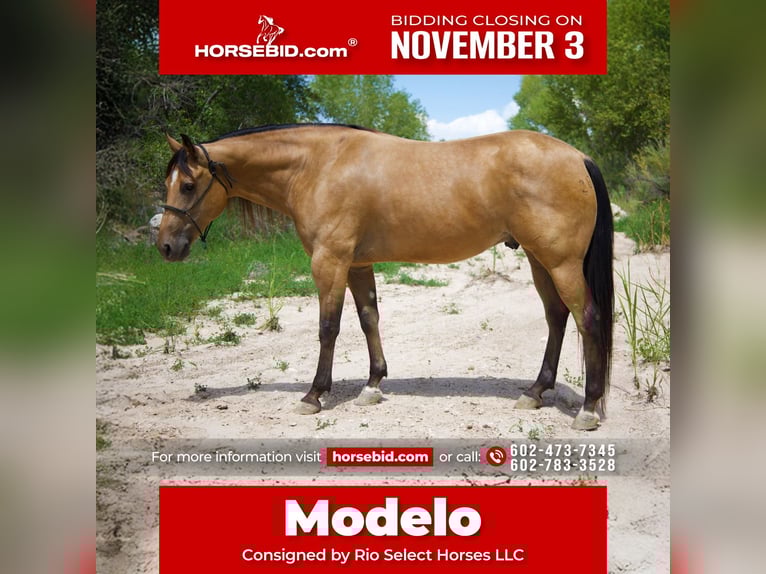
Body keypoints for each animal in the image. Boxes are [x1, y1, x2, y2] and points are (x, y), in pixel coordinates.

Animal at [157, 124, 613, 430]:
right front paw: (373, 384)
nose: (165, 247)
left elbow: (328, 327)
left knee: (587, 318)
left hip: (560, 262)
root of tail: (578, 157)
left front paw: (314, 394)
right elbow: (368, 319)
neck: (318, 165)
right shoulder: (358, 265)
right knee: (557, 317)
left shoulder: (329, 262)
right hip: (539, 260)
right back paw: (535, 392)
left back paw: (589, 409)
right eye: (169, 182)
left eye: (188, 184)